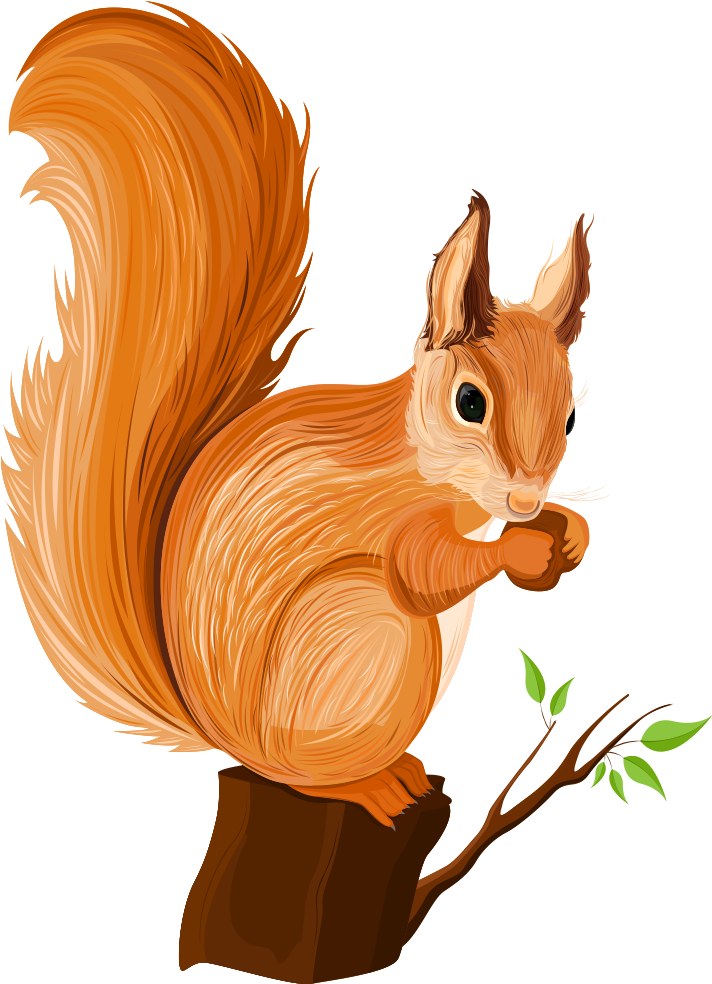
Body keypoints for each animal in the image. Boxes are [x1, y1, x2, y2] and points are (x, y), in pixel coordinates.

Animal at [5, 5, 597, 829]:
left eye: (571, 410)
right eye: (470, 402)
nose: (525, 500)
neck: (438, 475)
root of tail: (222, 737)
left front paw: (567, 535)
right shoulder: (396, 523)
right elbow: (426, 572)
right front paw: (523, 550)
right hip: (362, 641)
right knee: (306, 772)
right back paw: (370, 785)